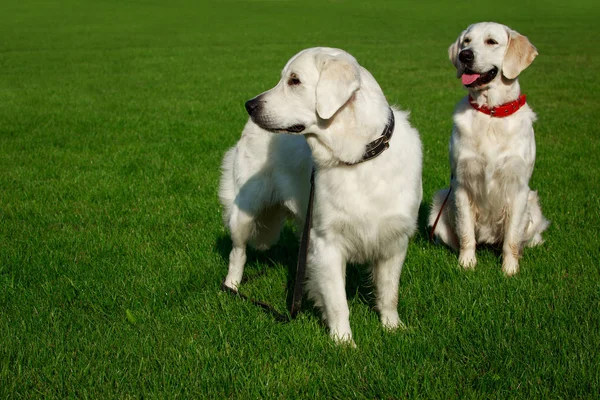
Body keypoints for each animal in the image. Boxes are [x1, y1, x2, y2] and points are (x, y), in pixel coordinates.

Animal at [219, 47, 422, 344]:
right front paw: (344, 342)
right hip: (244, 213)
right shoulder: (327, 242)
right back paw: (231, 287)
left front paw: (393, 328)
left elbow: (388, 293)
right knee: (238, 253)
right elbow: (338, 301)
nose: (250, 105)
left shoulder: (394, 241)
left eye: (294, 80)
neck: (357, 157)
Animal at [428, 22, 552, 276]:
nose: (465, 55)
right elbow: (466, 234)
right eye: (466, 41)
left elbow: (512, 239)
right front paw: (466, 264)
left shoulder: (518, 187)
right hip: (440, 203)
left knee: (528, 236)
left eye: (491, 42)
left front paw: (510, 270)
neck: (491, 113)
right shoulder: (462, 184)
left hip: (533, 204)